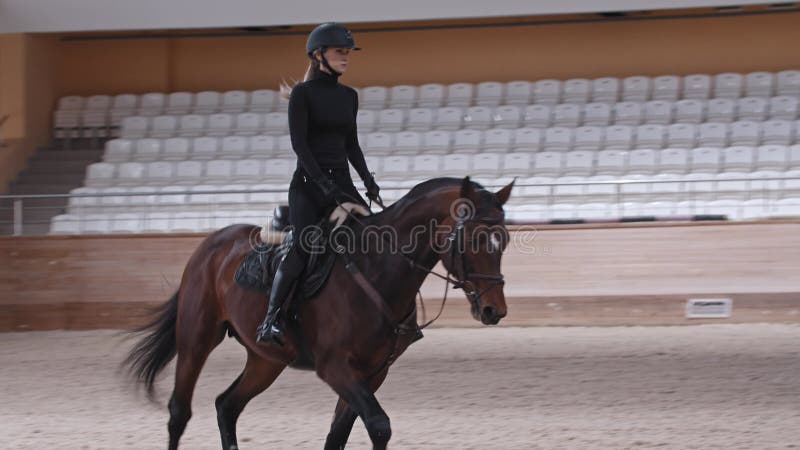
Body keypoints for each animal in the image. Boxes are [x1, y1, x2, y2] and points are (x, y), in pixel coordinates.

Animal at [123, 177, 512, 450]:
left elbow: (339, 434)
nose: (494, 310)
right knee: (179, 412)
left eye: (504, 240)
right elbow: (379, 425)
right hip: (197, 337)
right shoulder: (335, 367)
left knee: (226, 406)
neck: (376, 269)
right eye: (475, 239)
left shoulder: (374, 372)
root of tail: (212, 243)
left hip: (266, 360)